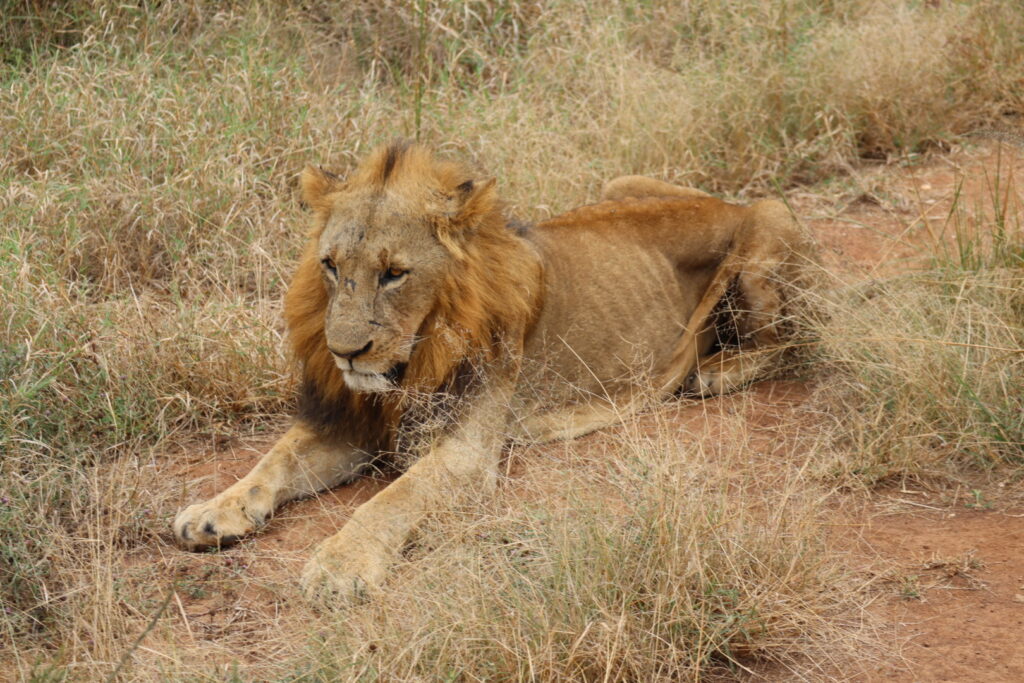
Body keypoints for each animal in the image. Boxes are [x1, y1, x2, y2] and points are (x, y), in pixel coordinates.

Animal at [174, 141, 815, 602]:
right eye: (331, 266)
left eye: (395, 273)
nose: (345, 352)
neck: (410, 363)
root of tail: (728, 203)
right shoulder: (350, 421)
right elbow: (274, 458)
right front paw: (213, 511)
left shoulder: (464, 452)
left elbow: (391, 500)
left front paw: (340, 564)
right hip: (621, 184)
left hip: (770, 223)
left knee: (794, 338)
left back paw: (716, 372)